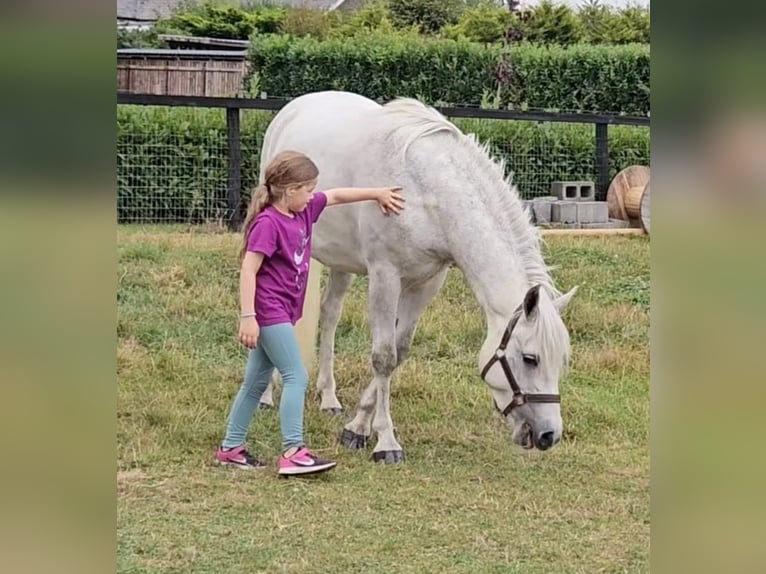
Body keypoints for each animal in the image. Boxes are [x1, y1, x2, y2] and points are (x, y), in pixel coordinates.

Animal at [257, 91, 576, 463]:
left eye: (560, 360)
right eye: (530, 358)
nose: (549, 435)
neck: (427, 190)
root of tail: (297, 105)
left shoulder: (426, 283)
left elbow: (399, 351)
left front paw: (357, 427)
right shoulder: (385, 276)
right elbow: (383, 357)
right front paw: (385, 442)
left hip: (341, 262)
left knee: (330, 314)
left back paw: (328, 397)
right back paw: (265, 396)